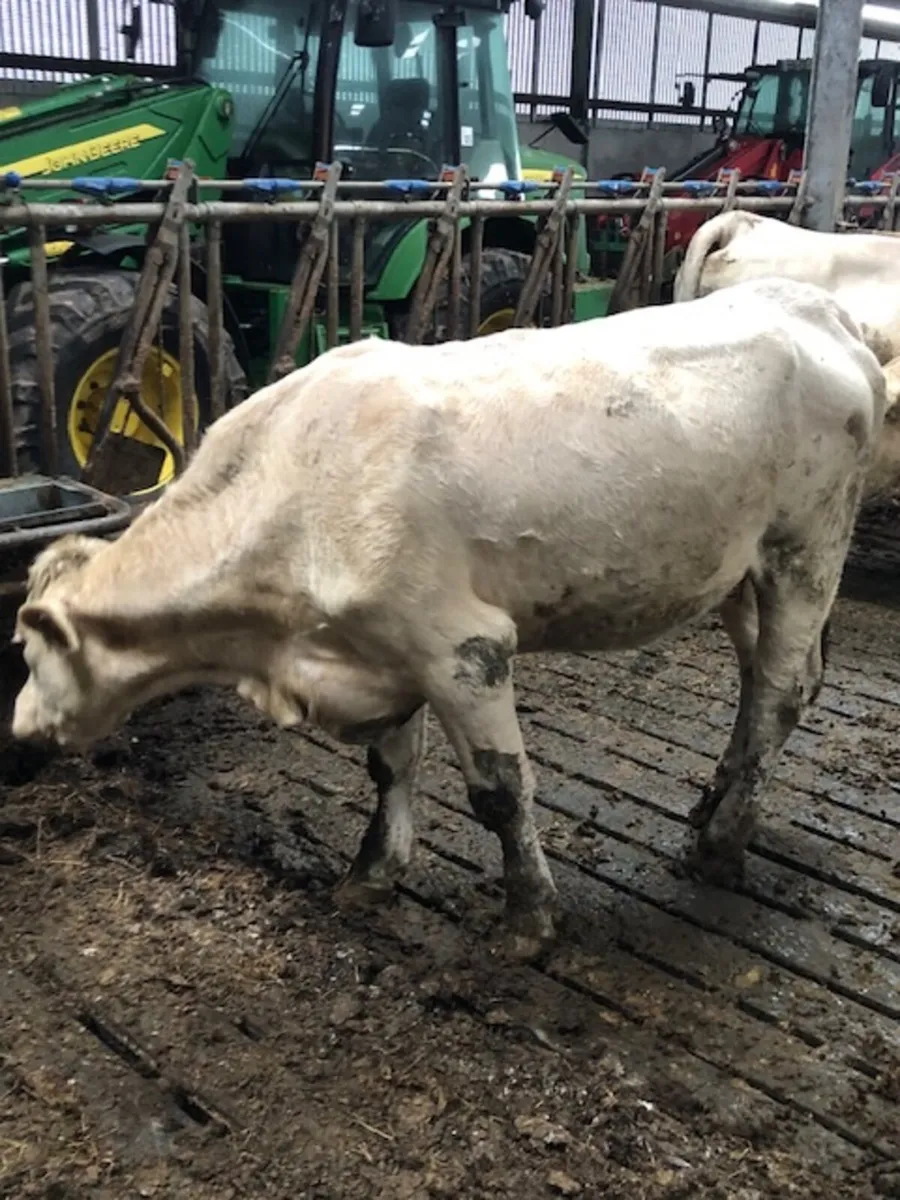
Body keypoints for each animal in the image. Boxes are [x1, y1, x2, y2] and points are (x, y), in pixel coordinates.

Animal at [9, 278, 886, 961]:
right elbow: (391, 768)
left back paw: (719, 842)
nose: (16, 735)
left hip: (808, 544)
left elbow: (499, 792)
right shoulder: (383, 650)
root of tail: (812, 305)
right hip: (738, 571)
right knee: (767, 680)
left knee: (779, 690)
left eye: (30, 651)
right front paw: (371, 875)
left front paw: (529, 918)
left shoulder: (463, 648)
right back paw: (713, 804)